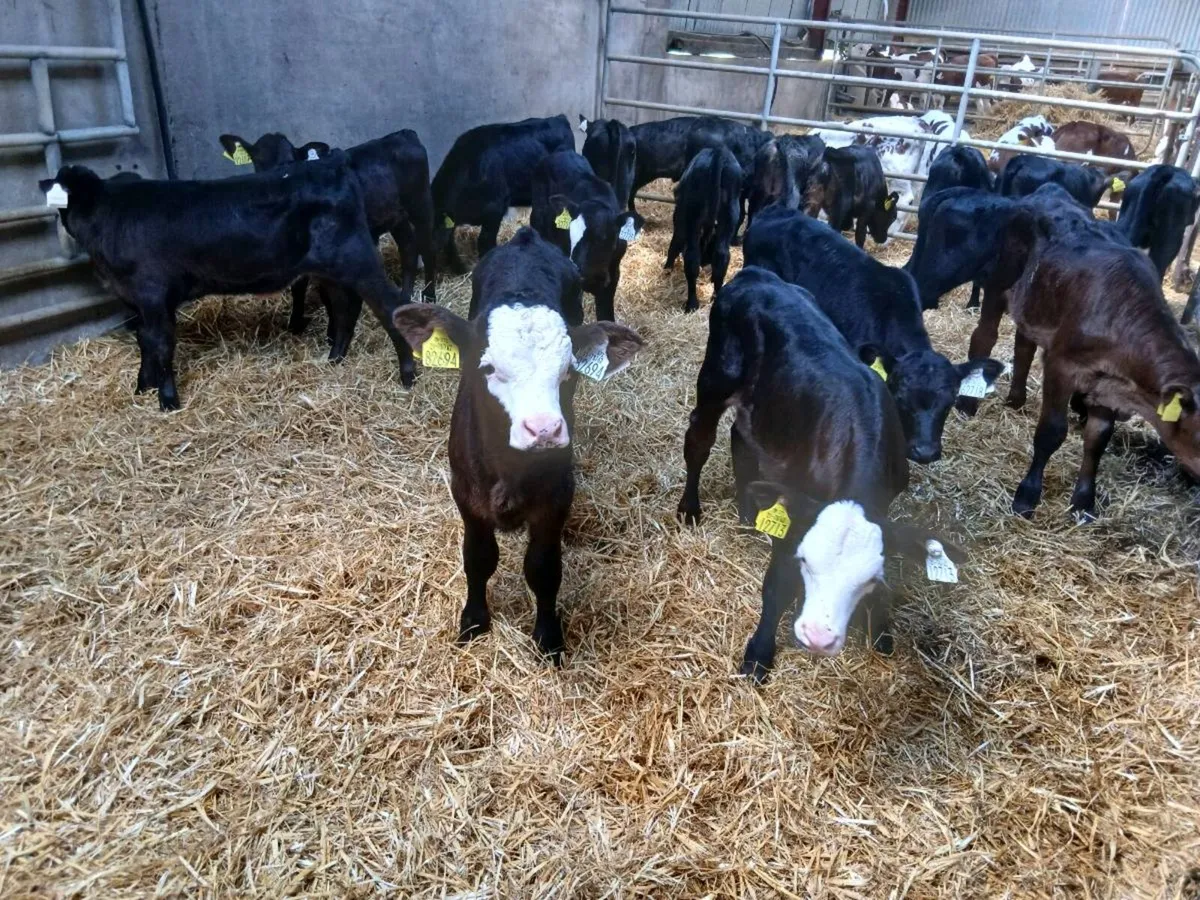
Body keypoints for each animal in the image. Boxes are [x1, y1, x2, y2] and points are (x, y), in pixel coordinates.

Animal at [41, 158, 415, 410]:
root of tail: (334, 165)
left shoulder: (153, 293)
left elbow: (161, 343)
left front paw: (168, 401)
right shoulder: (137, 301)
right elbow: (144, 340)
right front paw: (142, 387)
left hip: (357, 260)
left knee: (391, 307)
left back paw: (408, 375)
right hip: (332, 269)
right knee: (345, 306)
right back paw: (335, 358)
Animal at [391, 228, 644, 663]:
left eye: (568, 371)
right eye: (488, 368)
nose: (544, 429)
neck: (509, 471)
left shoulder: (557, 496)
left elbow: (543, 569)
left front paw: (549, 636)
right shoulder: (466, 493)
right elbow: (478, 558)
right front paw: (474, 621)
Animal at [665, 146, 743, 313]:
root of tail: (718, 153)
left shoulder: (680, 221)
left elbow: (675, 244)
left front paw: (667, 268)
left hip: (692, 218)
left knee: (692, 258)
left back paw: (691, 304)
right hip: (729, 214)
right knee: (722, 256)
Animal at [676, 266, 965, 681]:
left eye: (869, 580)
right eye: (805, 562)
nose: (818, 637)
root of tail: (755, 274)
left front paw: (881, 630)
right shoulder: (797, 511)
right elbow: (777, 584)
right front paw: (758, 654)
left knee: (740, 436)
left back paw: (747, 512)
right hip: (716, 379)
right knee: (699, 439)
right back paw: (689, 508)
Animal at [963, 215, 1200, 517]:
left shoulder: (1107, 386)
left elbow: (1097, 440)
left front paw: (1084, 502)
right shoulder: (1061, 366)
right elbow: (1051, 432)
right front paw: (1027, 496)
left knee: (1024, 345)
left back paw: (1016, 399)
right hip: (997, 286)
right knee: (984, 336)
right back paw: (968, 403)